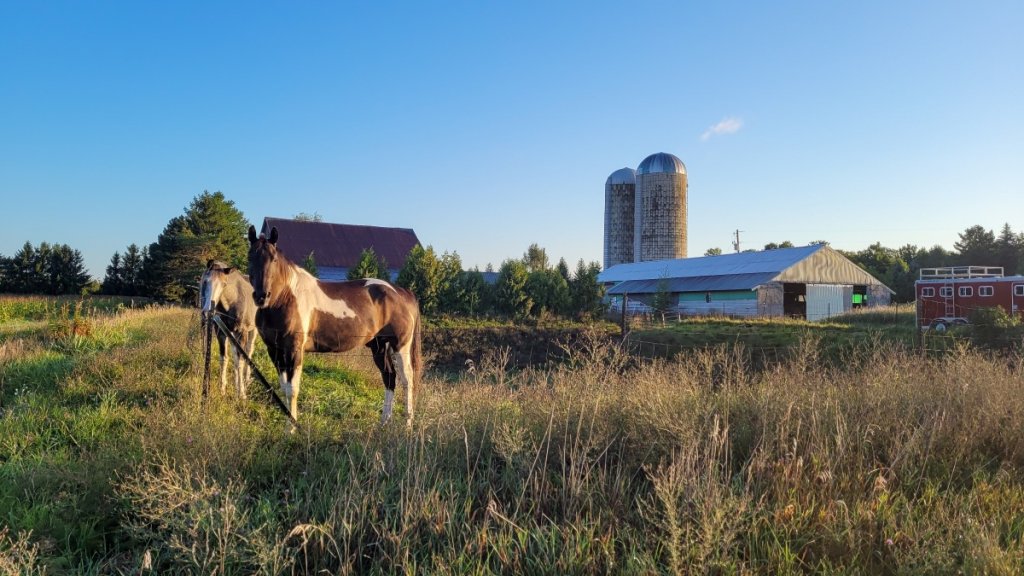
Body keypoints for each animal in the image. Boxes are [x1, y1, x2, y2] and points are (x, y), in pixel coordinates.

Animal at [199, 260, 258, 399]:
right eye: (205, 281)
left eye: (224, 284)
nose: (207, 312)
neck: (233, 301)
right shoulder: (220, 331)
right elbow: (224, 358)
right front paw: (222, 389)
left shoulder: (242, 332)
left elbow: (240, 360)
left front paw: (241, 393)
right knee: (235, 354)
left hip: (253, 331)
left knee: (249, 350)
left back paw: (246, 379)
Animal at [246, 225, 422, 427]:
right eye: (250, 257)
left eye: (274, 259)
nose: (261, 296)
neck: (285, 298)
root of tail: (403, 293)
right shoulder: (274, 350)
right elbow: (284, 388)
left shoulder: (294, 351)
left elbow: (293, 390)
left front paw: (292, 427)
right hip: (378, 346)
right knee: (389, 378)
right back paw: (383, 423)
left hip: (400, 346)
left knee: (407, 380)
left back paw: (407, 426)